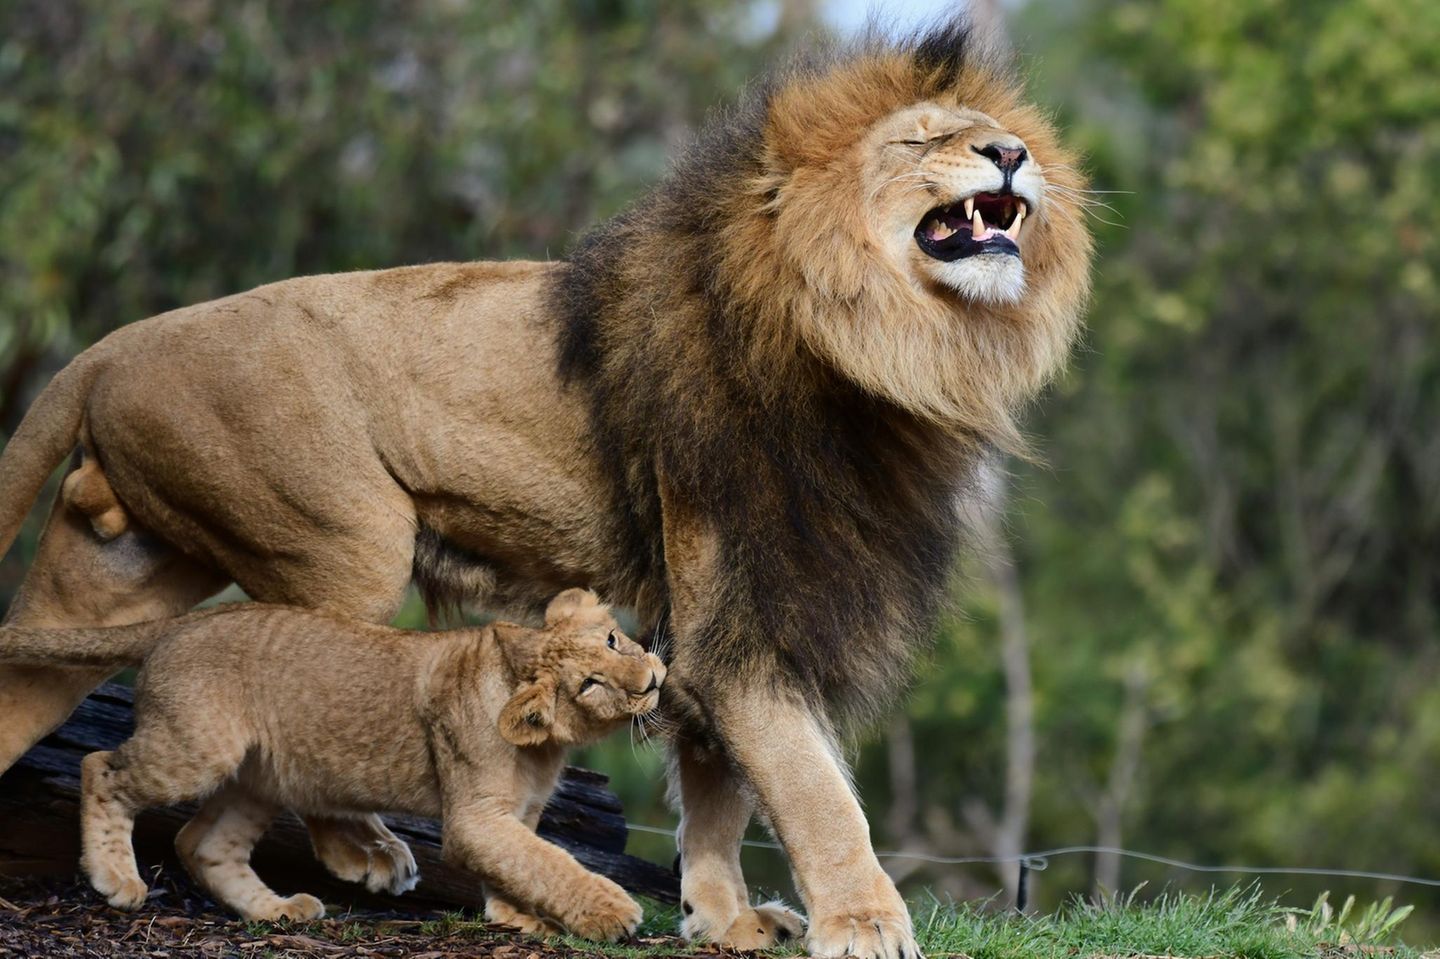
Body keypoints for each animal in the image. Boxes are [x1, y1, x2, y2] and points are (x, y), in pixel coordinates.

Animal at [0, 588, 663, 936]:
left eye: (612, 640)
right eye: (590, 684)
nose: (654, 680)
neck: (547, 747)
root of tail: (185, 621)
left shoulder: (513, 814)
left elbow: (524, 864)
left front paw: (512, 916)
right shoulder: (475, 816)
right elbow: (549, 863)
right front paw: (613, 913)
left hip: (258, 777)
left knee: (203, 844)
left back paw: (277, 911)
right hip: (197, 749)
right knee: (100, 767)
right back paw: (117, 877)